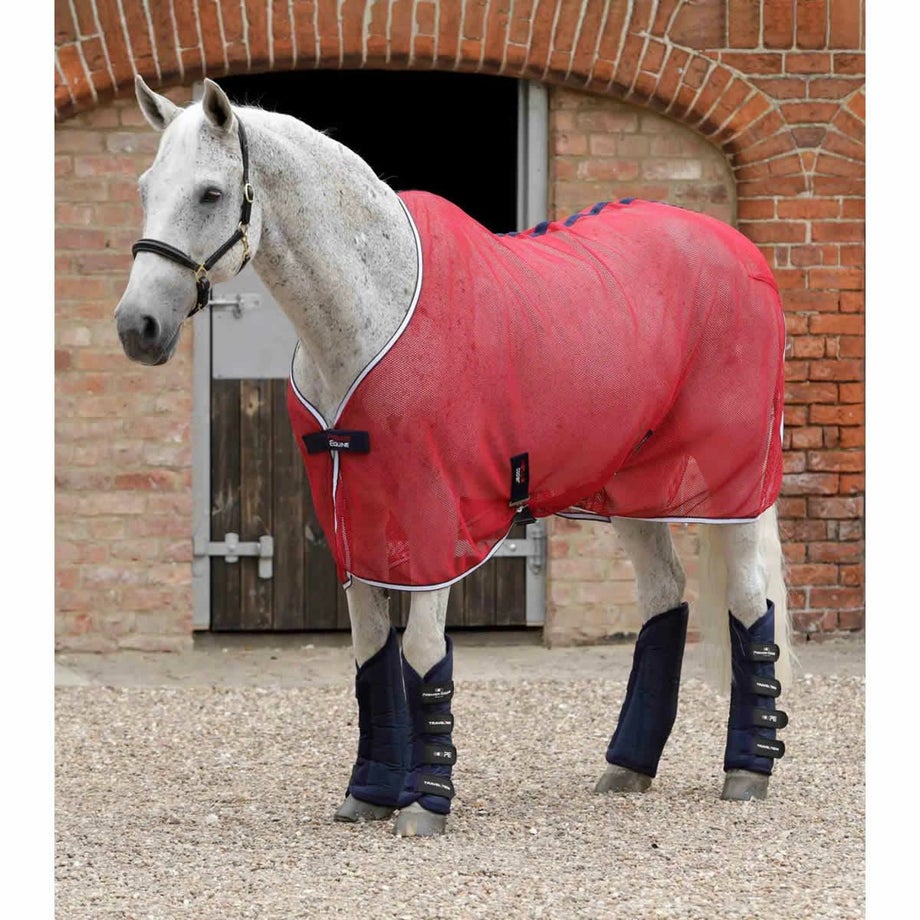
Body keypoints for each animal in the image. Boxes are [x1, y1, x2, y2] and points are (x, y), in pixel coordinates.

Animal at [115, 76, 791, 838]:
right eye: (145, 187)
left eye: (209, 193)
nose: (137, 327)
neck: (373, 308)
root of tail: (739, 250)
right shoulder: (352, 517)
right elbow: (370, 651)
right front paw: (369, 794)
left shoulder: (434, 519)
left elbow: (420, 651)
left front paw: (424, 805)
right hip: (632, 487)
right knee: (663, 598)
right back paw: (626, 768)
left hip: (734, 482)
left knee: (748, 600)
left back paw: (747, 771)